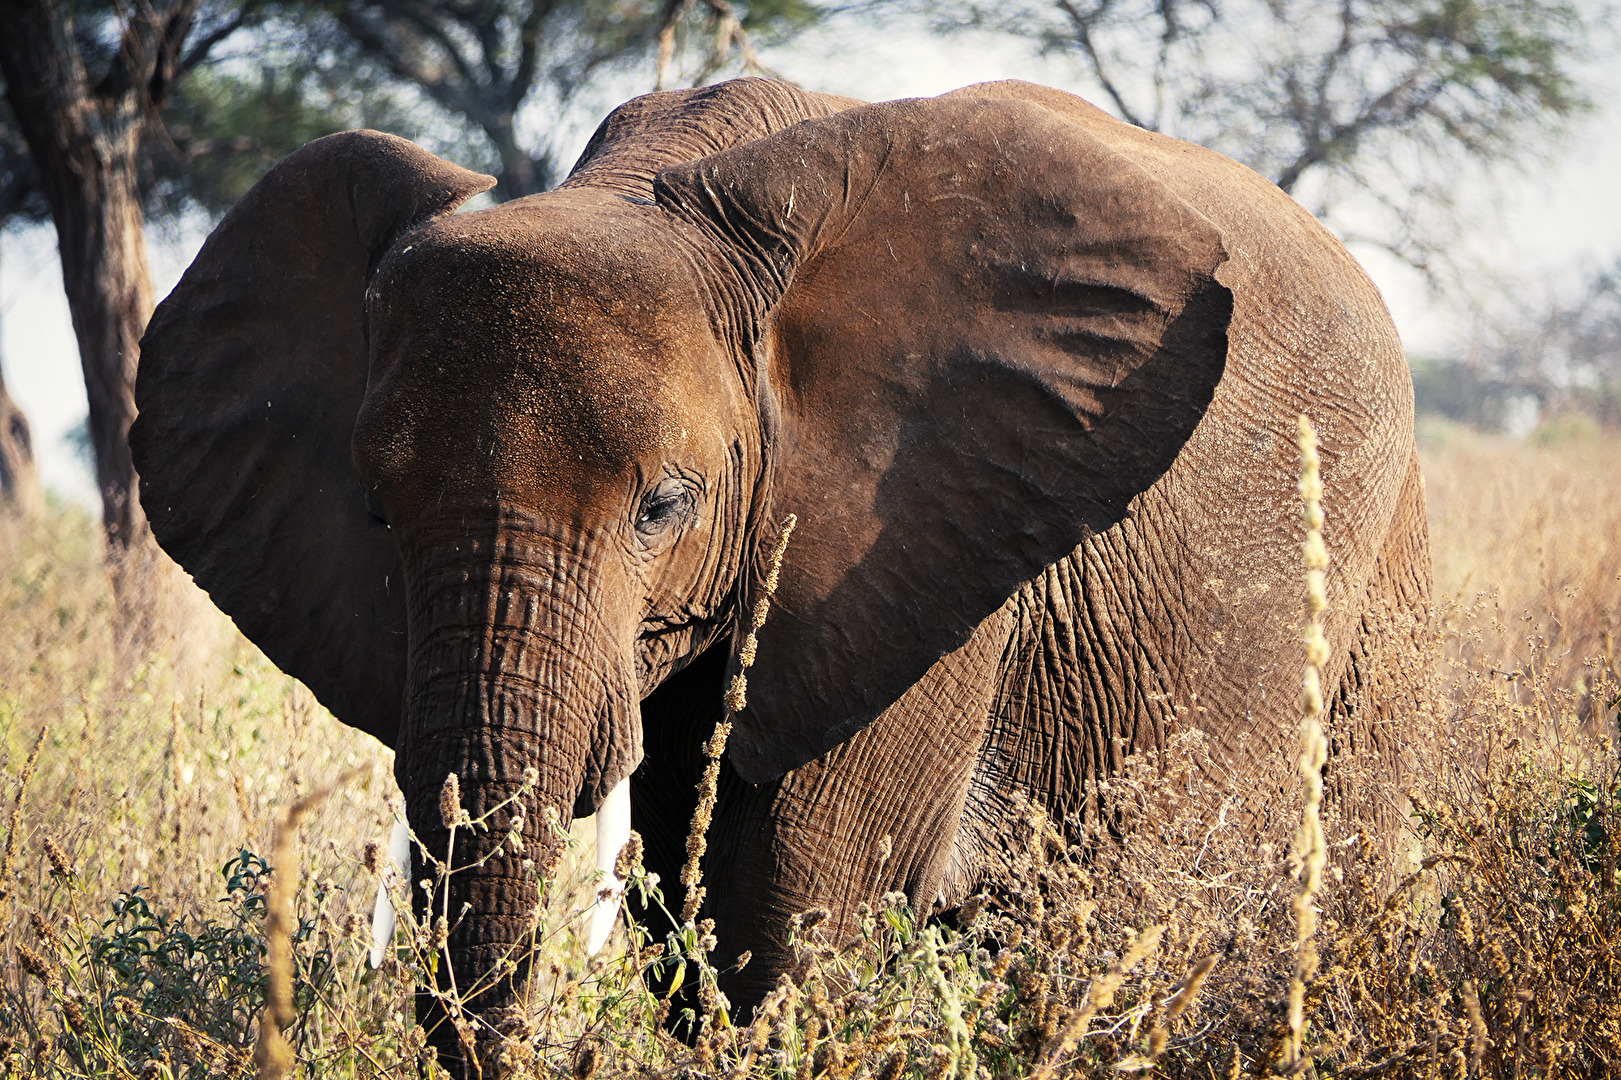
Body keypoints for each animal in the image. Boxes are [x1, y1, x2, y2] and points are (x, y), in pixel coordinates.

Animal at [139, 77, 1432, 1070]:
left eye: (665, 506)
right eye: (376, 510)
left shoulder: (923, 558)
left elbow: (793, 916)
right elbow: (692, 901)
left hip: (1376, 568)